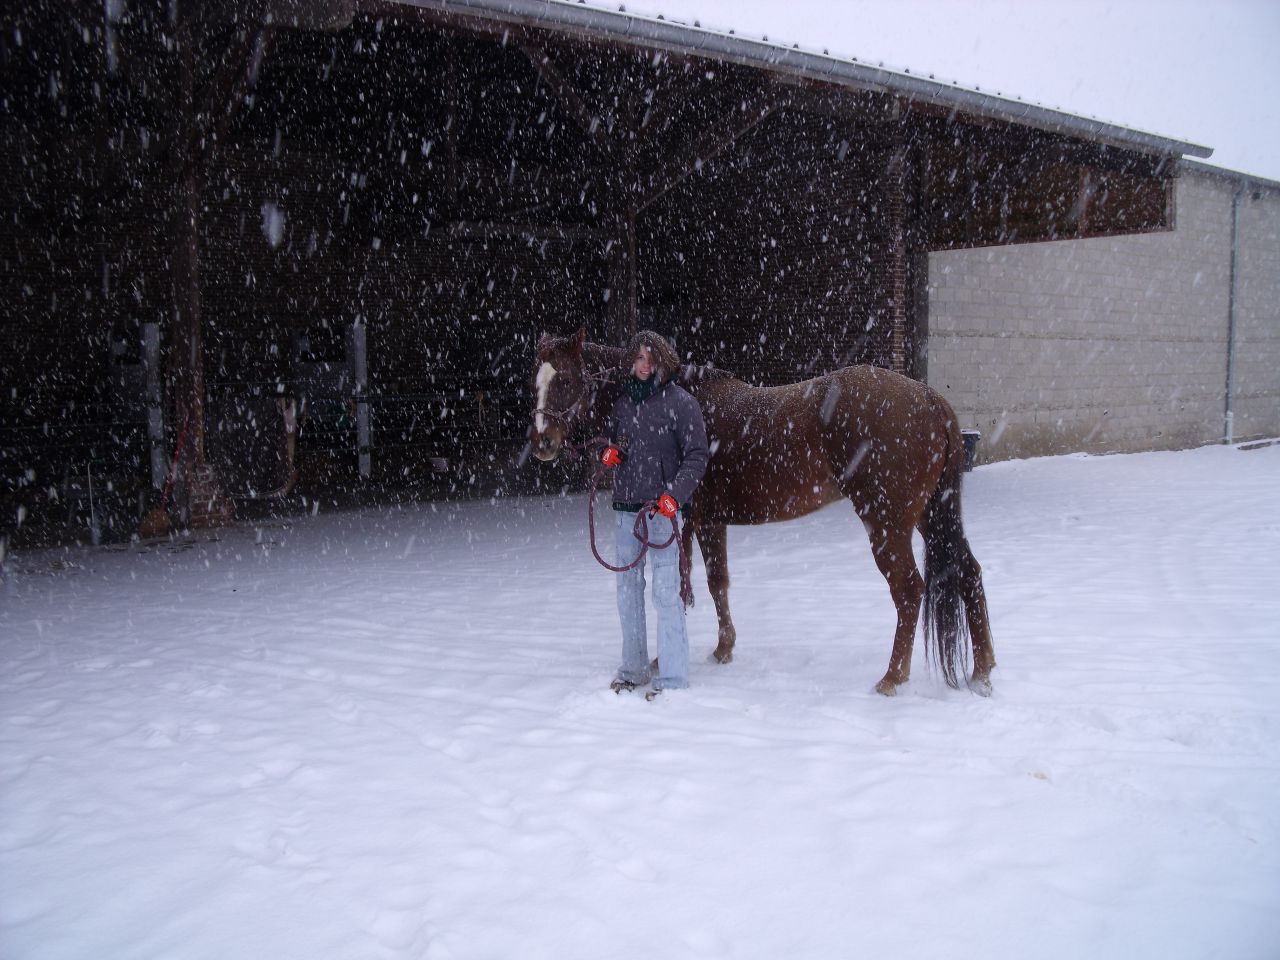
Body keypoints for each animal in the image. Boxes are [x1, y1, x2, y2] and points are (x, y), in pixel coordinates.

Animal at [528, 327, 995, 696]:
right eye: (536, 382)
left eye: (566, 379)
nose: (542, 443)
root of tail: (930, 400)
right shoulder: (708, 521)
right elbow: (715, 583)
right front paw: (723, 648)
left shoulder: (691, 520)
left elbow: (686, 584)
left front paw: (675, 657)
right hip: (931, 516)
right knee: (968, 572)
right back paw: (982, 671)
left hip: (886, 523)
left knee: (909, 590)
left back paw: (892, 677)